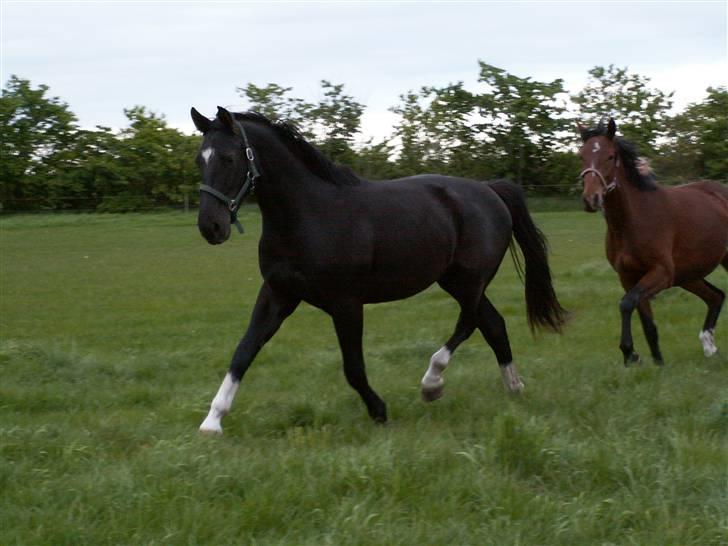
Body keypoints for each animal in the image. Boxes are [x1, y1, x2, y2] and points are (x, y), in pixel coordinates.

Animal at [192, 105, 564, 430]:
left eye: (229, 158)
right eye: (200, 159)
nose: (211, 227)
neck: (309, 215)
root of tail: (490, 190)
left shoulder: (346, 303)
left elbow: (353, 367)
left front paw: (379, 411)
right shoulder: (278, 294)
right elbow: (244, 351)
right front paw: (212, 421)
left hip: (470, 279)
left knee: (470, 323)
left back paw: (432, 384)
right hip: (455, 281)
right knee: (493, 324)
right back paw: (514, 388)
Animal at [580, 119, 728, 366]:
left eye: (610, 156)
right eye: (581, 155)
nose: (591, 199)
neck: (632, 221)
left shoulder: (661, 273)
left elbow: (626, 303)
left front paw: (630, 353)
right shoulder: (629, 277)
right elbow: (646, 322)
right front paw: (657, 362)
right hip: (687, 275)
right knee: (716, 296)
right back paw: (709, 347)